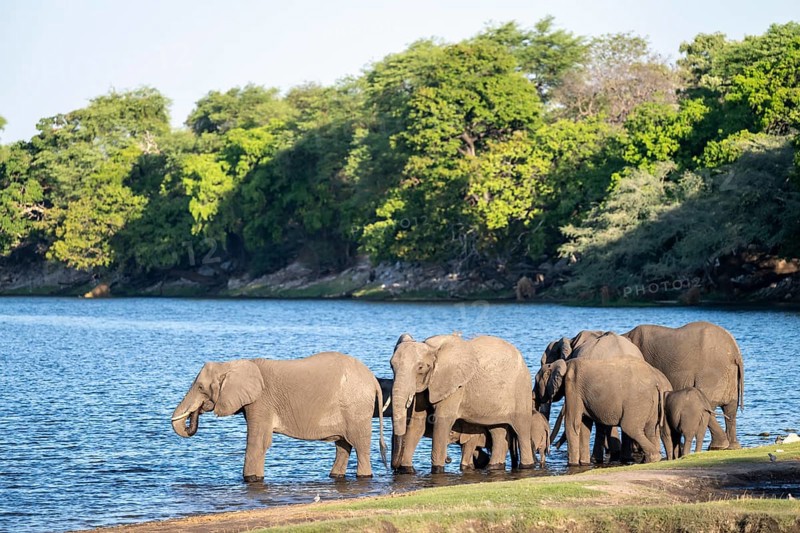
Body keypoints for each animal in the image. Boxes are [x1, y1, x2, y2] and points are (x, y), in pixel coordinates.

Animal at [171, 352, 387, 481]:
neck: (233, 365)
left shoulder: (261, 401)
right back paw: (335, 476)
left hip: (356, 409)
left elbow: (258, 441)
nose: (196, 411)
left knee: (359, 445)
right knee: (343, 445)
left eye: (200, 387)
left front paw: (250, 479)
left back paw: (364, 476)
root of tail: (373, 379)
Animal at [390, 333, 535, 474]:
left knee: (521, 430)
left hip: (521, 390)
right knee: (497, 430)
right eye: (391, 366)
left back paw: (527, 466)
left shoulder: (455, 386)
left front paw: (437, 471)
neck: (432, 349)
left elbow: (442, 421)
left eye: (420, 367)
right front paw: (407, 470)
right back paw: (494, 467)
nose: (394, 468)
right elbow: (417, 423)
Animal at [623, 321, 744, 450]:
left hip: (711, 374)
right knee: (730, 410)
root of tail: (735, 353)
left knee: (709, 404)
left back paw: (719, 446)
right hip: (730, 377)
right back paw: (731, 446)